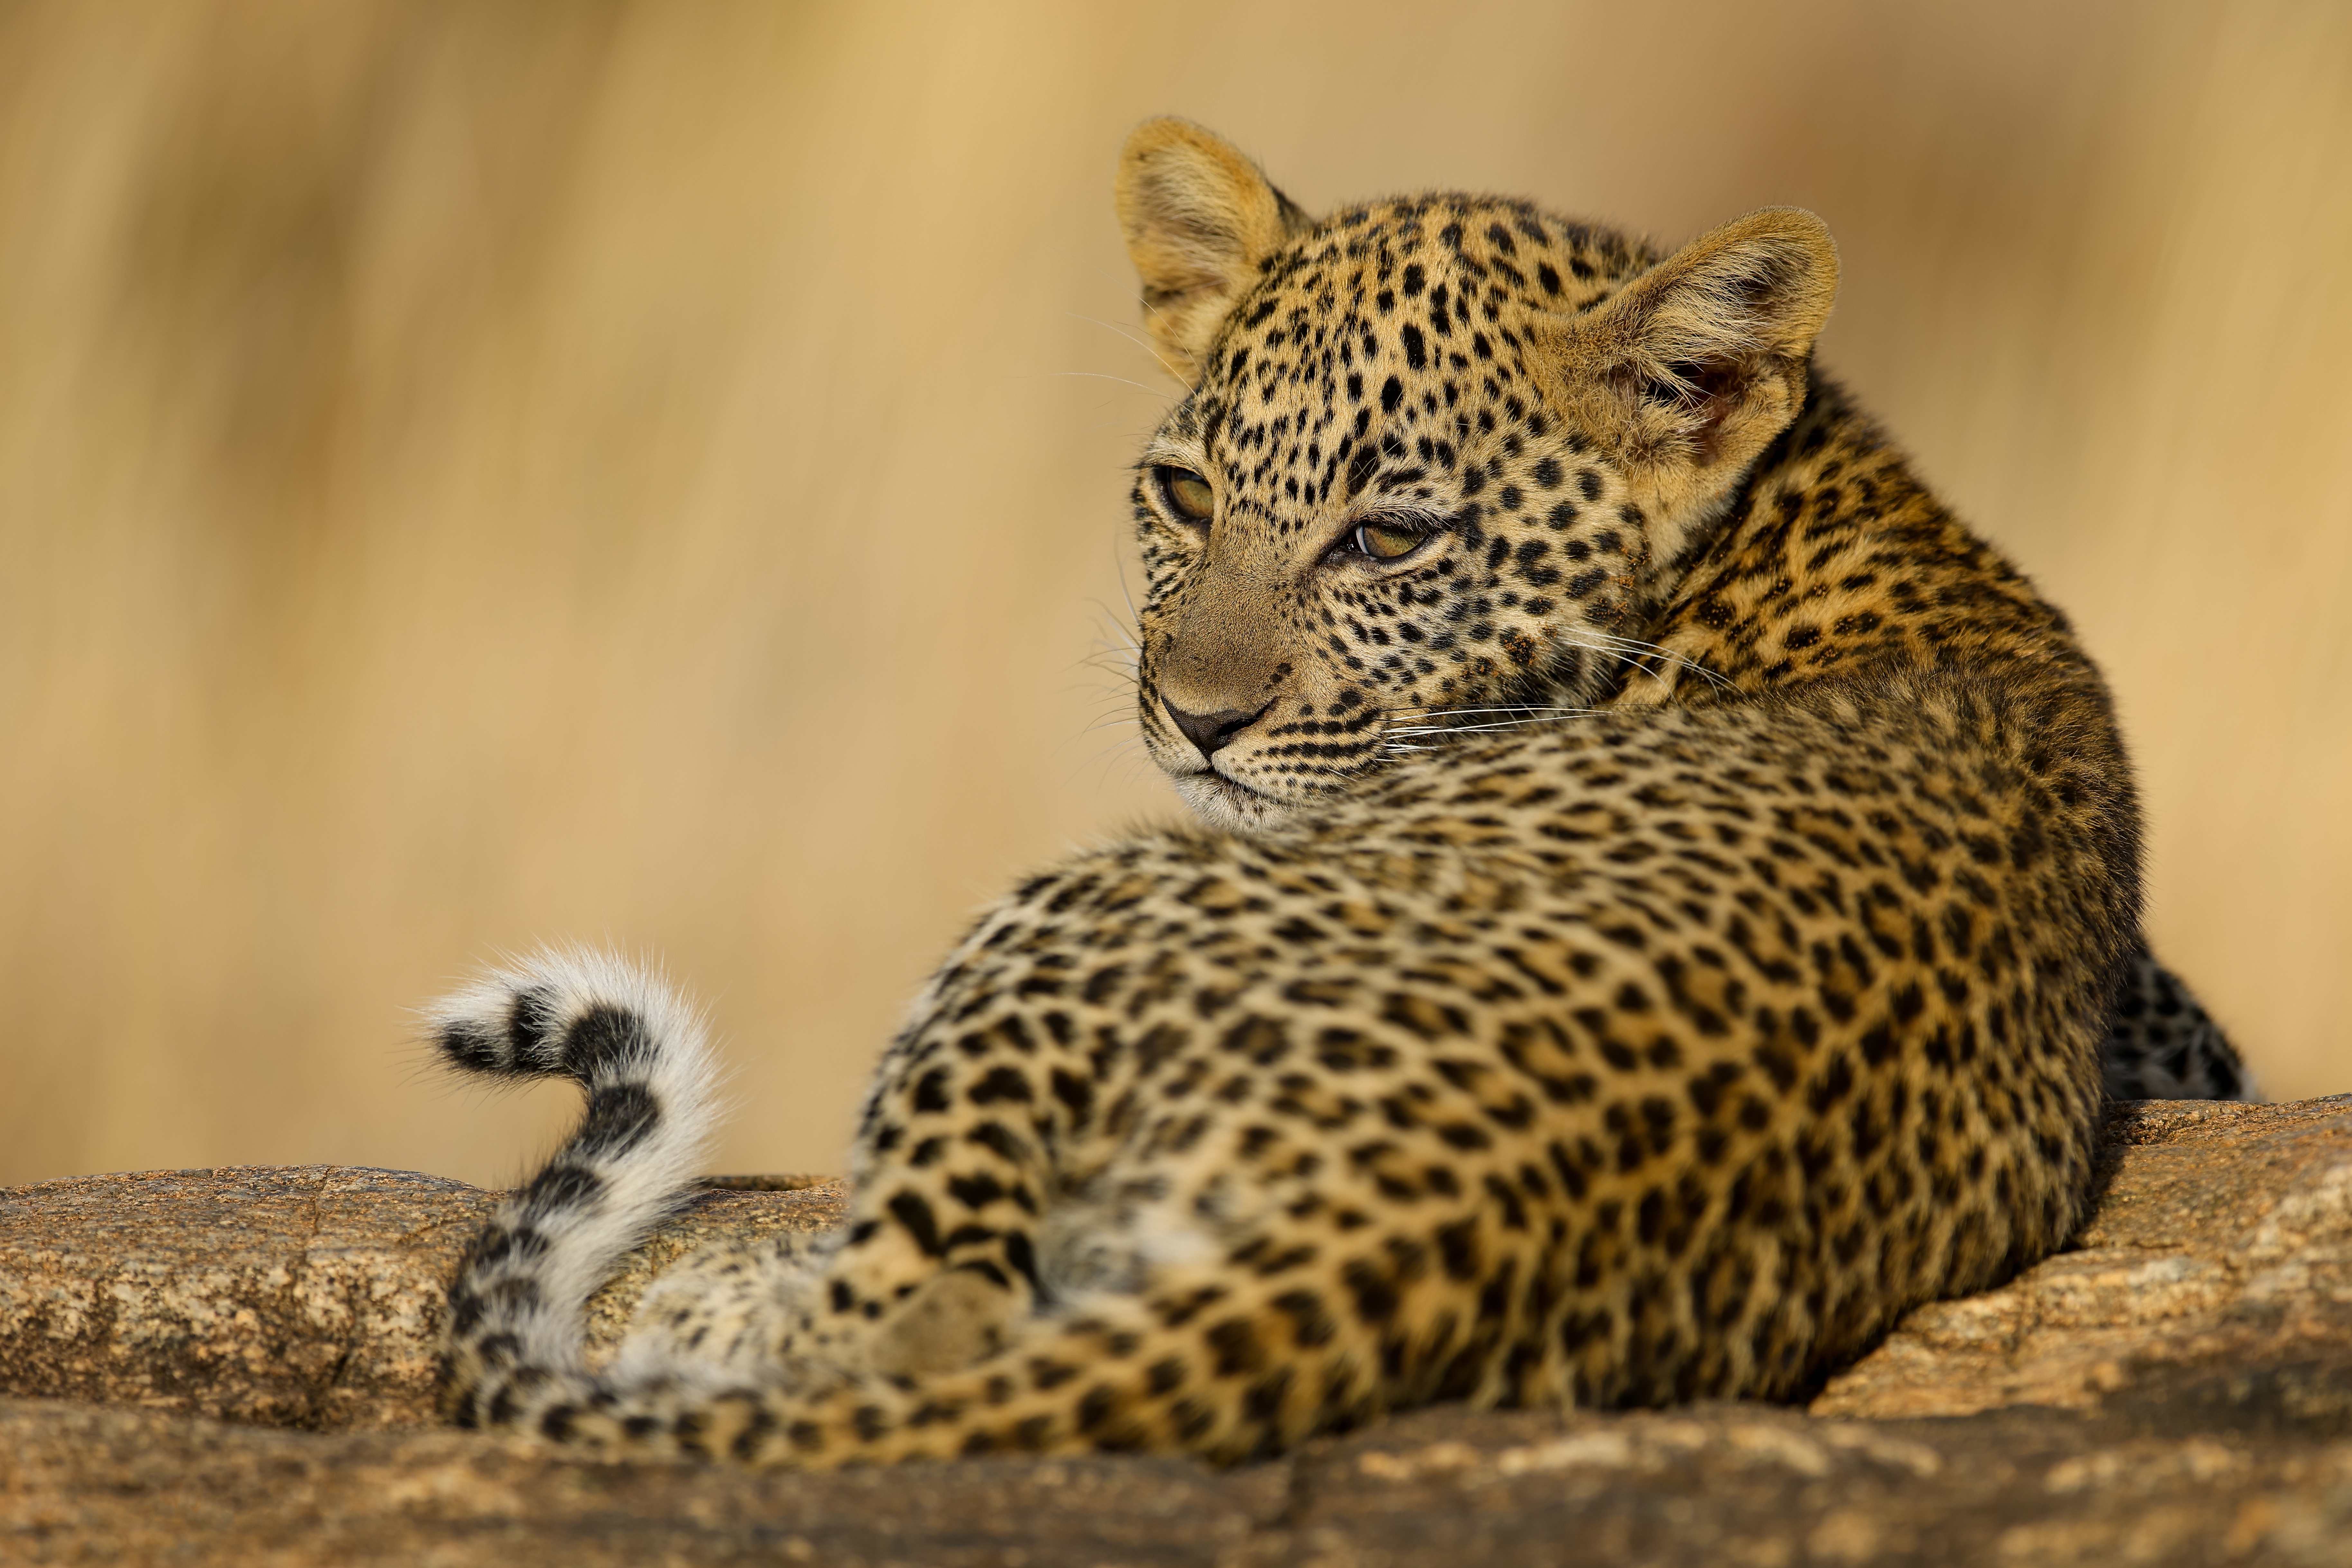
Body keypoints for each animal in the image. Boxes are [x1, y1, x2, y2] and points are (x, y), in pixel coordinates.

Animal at [433, 116, 2248, 1467]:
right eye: (1183, 496)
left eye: (1387, 536)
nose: (1195, 719)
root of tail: (1426, 1208)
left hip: (1073, 900)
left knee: (916, 1315)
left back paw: (719, 1302)